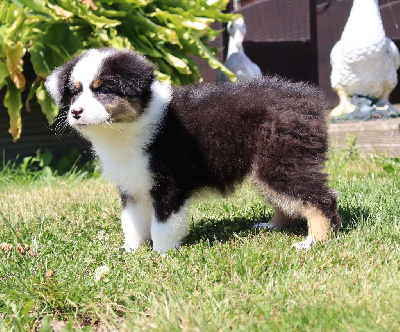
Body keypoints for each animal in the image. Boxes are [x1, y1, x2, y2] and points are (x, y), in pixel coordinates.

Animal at [46, 48, 340, 253]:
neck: (128, 128)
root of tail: (309, 97)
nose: (75, 112)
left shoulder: (170, 182)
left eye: (104, 89)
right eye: (74, 92)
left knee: (320, 199)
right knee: (289, 201)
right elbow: (131, 222)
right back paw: (271, 226)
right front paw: (130, 250)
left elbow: (162, 223)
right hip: (265, 166)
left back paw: (314, 242)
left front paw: (162, 253)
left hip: (281, 159)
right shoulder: (132, 185)